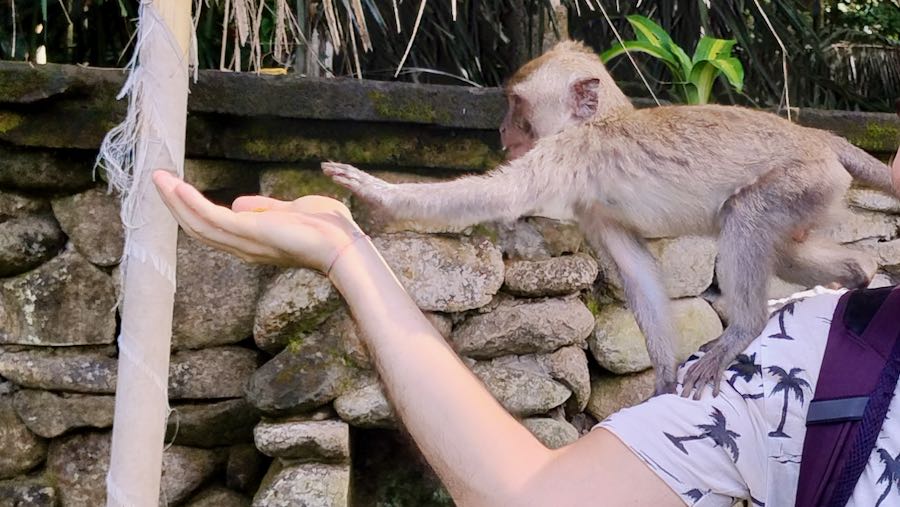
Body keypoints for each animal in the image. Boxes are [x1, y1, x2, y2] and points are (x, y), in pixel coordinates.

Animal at [322, 40, 895, 399]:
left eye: (516, 105)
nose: (503, 131)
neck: (601, 121)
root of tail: (820, 137)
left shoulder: (567, 154)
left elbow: (497, 195)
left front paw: (376, 190)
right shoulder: (594, 212)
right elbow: (638, 274)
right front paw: (662, 378)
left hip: (798, 180)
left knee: (745, 217)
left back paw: (744, 329)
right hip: (812, 193)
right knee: (791, 252)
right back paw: (859, 271)